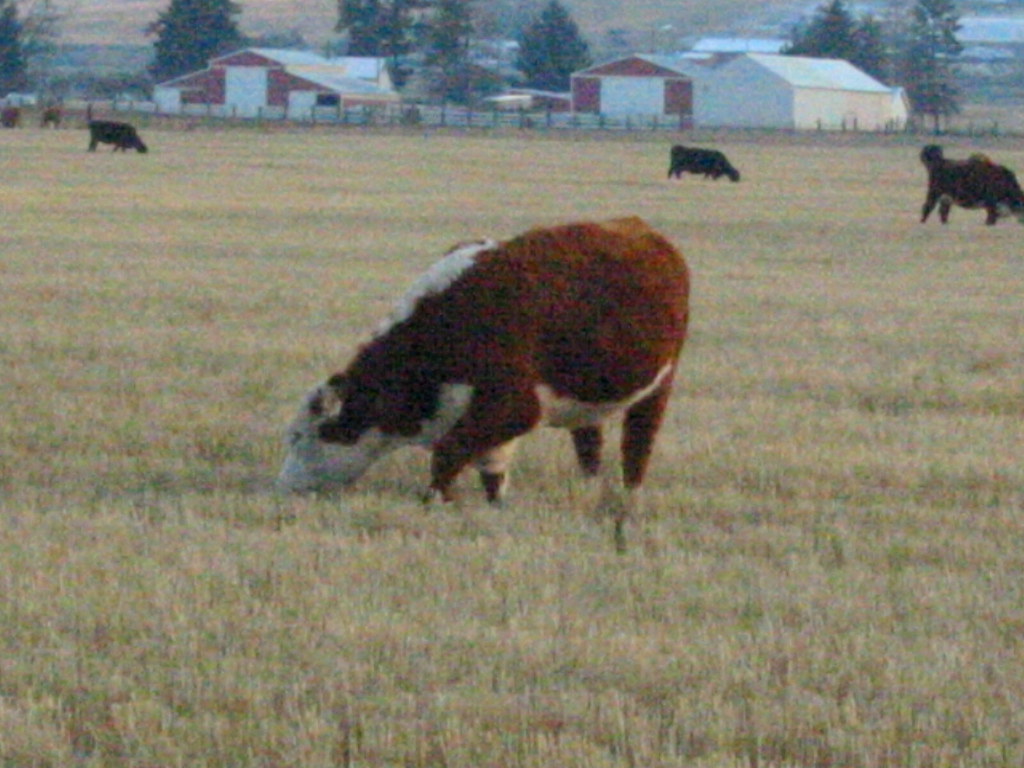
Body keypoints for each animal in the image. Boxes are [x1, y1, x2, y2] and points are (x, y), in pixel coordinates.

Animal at [277, 217, 690, 549]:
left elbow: (447, 453)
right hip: (589, 399)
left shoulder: (514, 408)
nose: (283, 487)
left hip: (659, 388)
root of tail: (644, 230)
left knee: (637, 448)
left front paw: (434, 503)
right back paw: (590, 488)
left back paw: (629, 499)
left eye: (299, 436)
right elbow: (492, 473)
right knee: (589, 444)